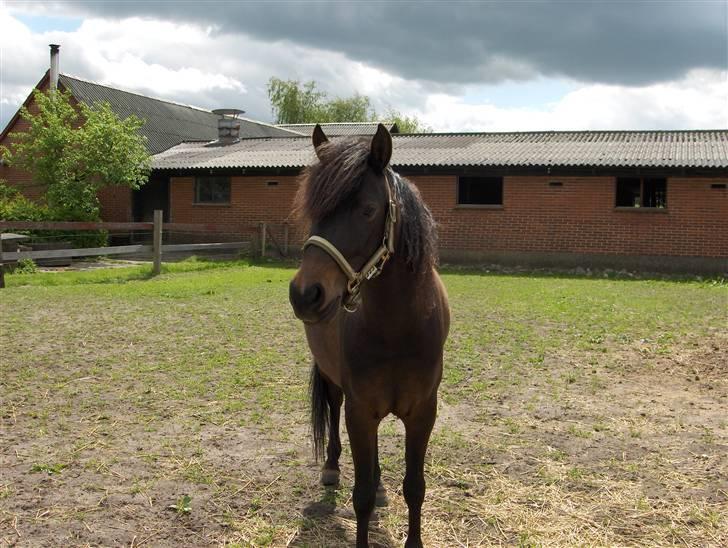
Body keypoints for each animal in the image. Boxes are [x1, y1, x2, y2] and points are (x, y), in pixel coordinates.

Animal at [290, 125, 450, 548]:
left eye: (367, 209)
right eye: (314, 211)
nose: (305, 294)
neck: (397, 327)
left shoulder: (422, 412)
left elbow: (415, 487)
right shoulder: (359, 410)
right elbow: (359, 495)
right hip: (335, 384)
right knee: (332, 412)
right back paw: (331, 468)